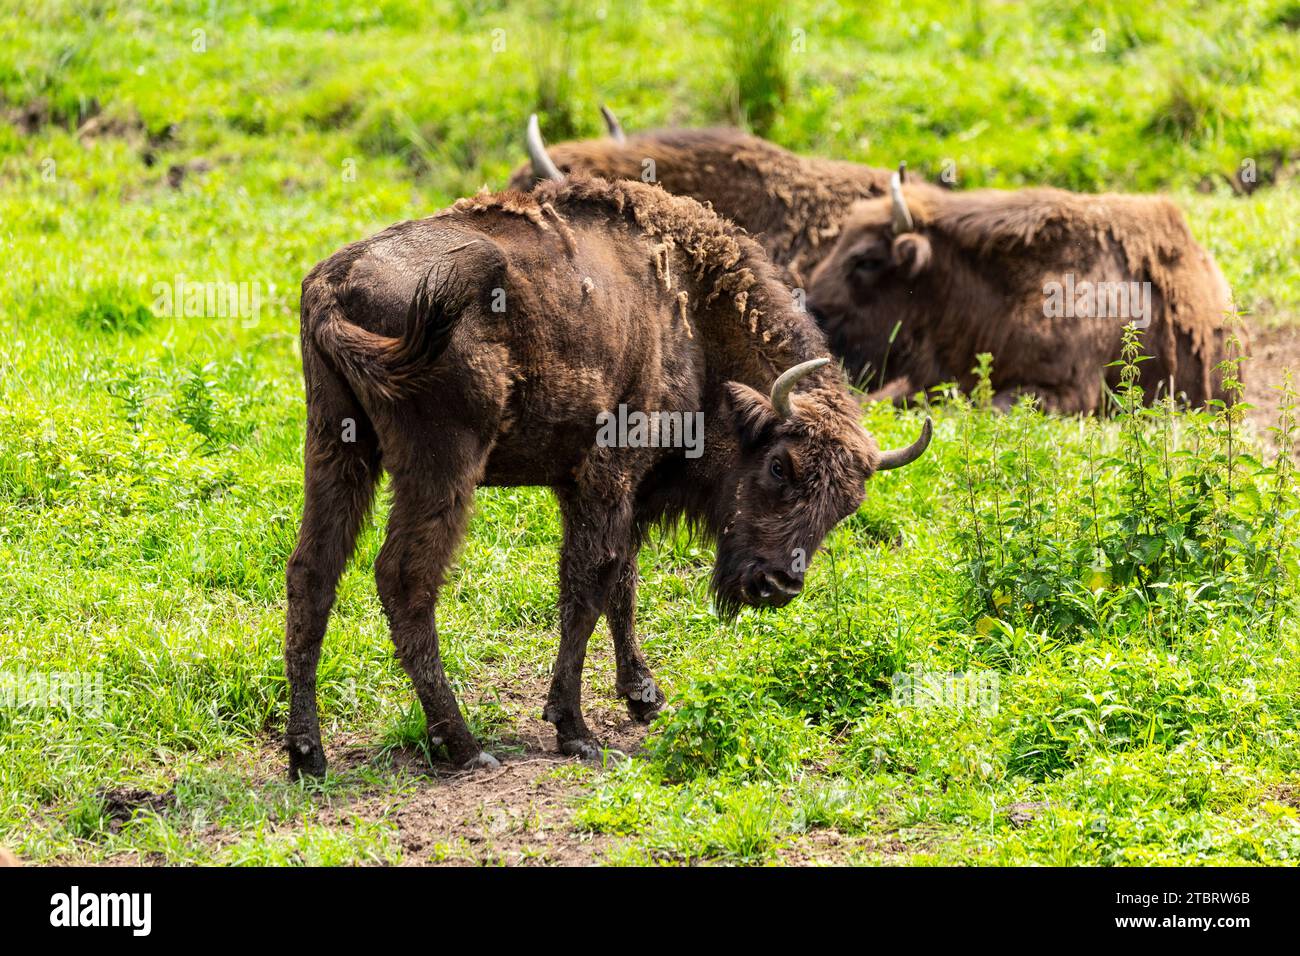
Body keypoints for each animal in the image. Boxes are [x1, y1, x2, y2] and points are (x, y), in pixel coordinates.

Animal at [287, 132, 935, 780]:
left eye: (846, 506)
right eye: (780, 465)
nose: (776, 584)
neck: (691, 317)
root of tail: (333, 288)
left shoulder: (620, 491)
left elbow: (622, 578)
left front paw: (642, 695)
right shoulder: (608, 478)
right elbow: (590, 585)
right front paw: (575, 729)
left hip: (337, 450)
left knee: (311, 573)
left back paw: (307, 754)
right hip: (443, 467)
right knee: (405, 580)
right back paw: (465, 746)